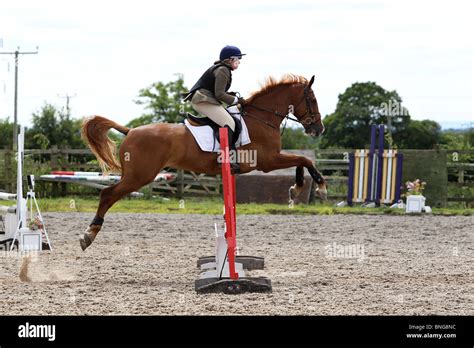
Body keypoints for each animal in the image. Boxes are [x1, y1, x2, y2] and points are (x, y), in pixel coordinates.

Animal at [79, 75, 328, 251]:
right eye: (312, 100)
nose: (319, 129)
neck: (261, 118)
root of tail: (129, 131)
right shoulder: (268, 160)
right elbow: (304, 159)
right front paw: (319, 187)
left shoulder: (271, 159)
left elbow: (301, 161)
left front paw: (296, 189)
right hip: (140, 176)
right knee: (108, 194)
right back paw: (88, 235)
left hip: (136, 175)